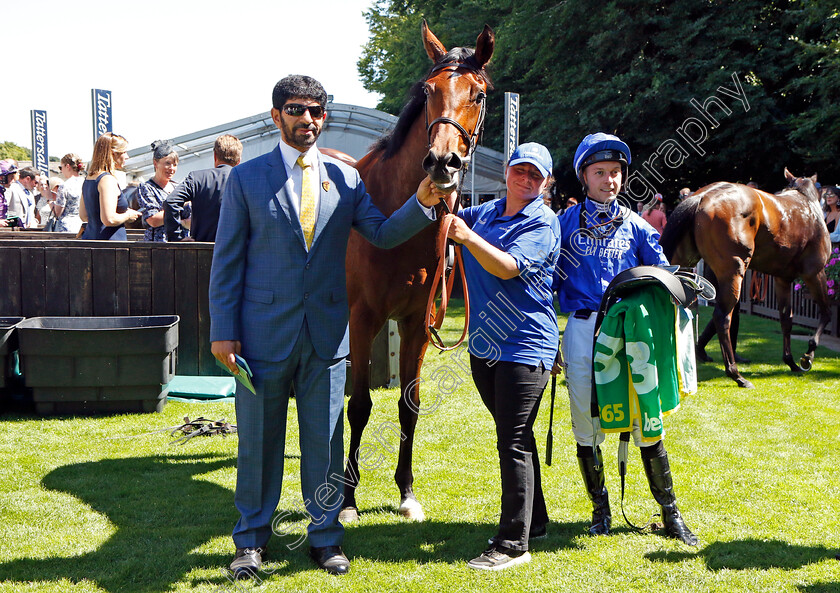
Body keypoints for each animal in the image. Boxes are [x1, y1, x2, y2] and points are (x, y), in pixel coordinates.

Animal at [340, 20, 496, 520]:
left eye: (479, 94)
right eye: (428, 90)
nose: (442, 162)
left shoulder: (416, 323)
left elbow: (409, 405)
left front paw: (406, 493)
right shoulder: (363, 318)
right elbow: (360, 405)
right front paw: (347, 500)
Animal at [660, 168, 832, 388]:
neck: (806, 203)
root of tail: (701, 197)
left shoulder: (783, 279)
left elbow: (786, 320)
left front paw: (791, 361)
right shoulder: (815, 272)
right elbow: (826, 313)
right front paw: (807, 356)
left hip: (680, 265)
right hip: (734, 272)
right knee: (722, 317)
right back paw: (736, 374)